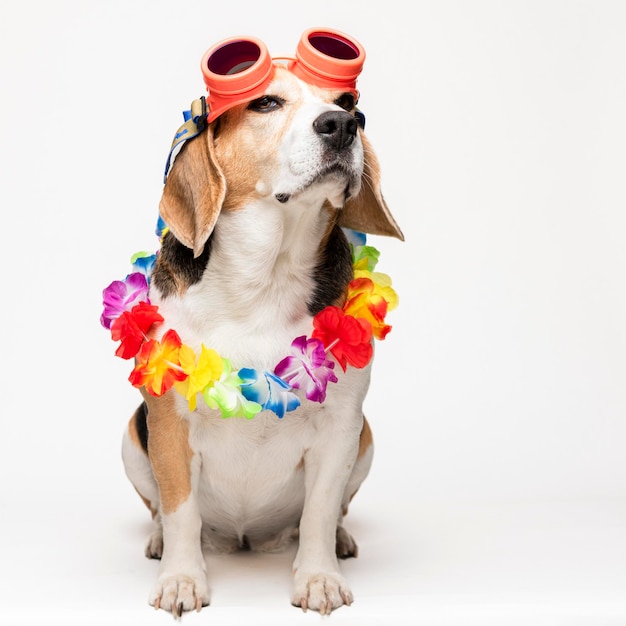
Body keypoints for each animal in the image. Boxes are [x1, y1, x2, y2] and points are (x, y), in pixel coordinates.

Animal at [119, 63, 402, 616]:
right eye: (267, 102)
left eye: (350, 103)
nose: (342, 124)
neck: (264, 280)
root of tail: (245, 538)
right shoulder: (167, 424)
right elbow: (180, 509)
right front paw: (181, 579)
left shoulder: (341, 427)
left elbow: (319, 510)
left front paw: (318, 578)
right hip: (131, 438)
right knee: (161, 510)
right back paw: (160, 541)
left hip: (366, 439)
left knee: (333, 512)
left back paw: (340, 541)